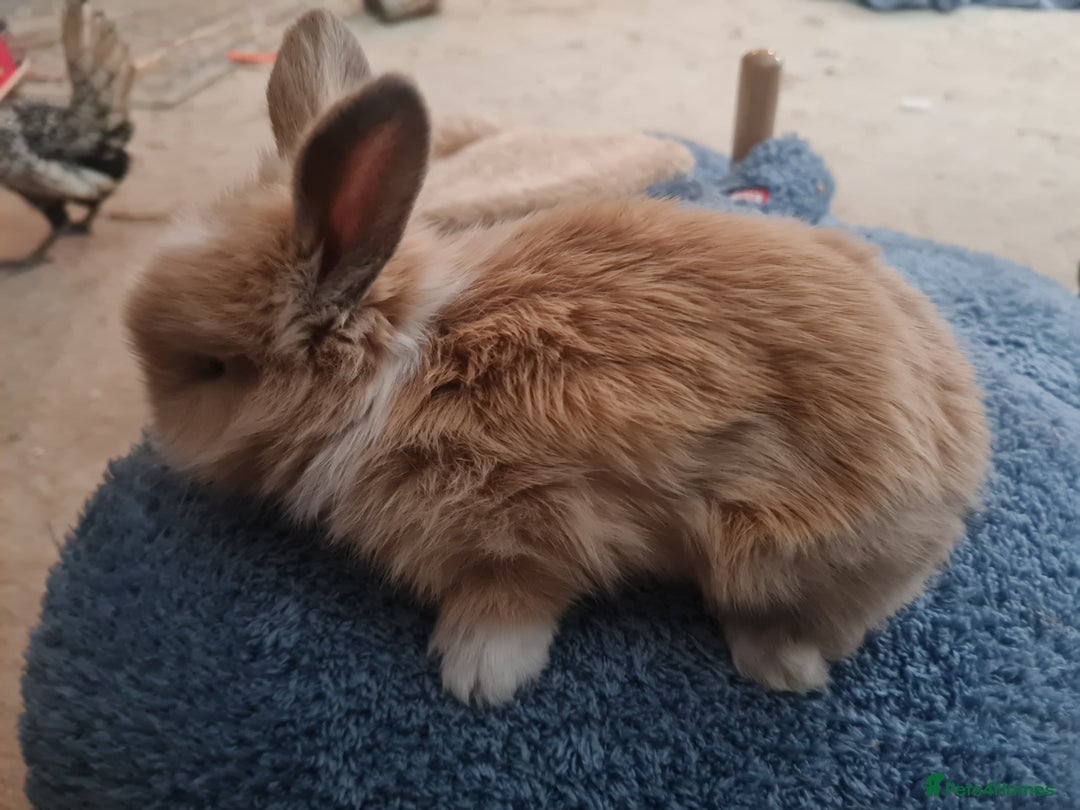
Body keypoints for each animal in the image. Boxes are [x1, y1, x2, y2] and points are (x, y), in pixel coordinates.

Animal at [124, 9, 990, 706]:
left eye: (209, 369)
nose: (163, 447)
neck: (401, 365)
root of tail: (963, 464)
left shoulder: (529, 525)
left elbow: (516, 599)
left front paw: (478, 678)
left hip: (777, 552)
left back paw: (781, 666)